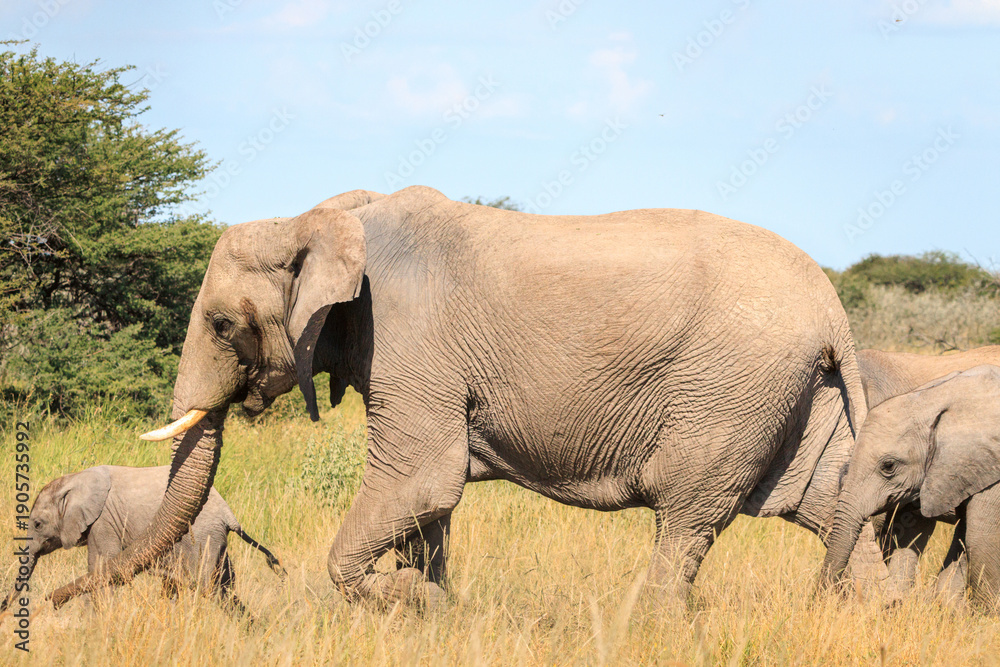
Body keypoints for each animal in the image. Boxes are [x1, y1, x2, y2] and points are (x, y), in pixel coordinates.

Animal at [2, 465, 285, 613]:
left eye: (38, 524)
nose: (49, 601)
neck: (74, 480)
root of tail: (230, 515)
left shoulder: (104, 521)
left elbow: (100, 567)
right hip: (217, 543)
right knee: (225, 587)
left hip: (202, 539)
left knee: (206, 588)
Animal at [49, 186, 876, 609]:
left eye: (223, 324)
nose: (55, 605)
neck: (321, 215)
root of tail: (832, 303)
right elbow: (428, 506)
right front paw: (430, 603)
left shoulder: (410, 340)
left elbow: (422, 482)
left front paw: (416, 598)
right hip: (793, 392)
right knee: (831, 501)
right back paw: (869, 613)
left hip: (730, 387)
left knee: (687, 517)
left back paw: (652, 626)